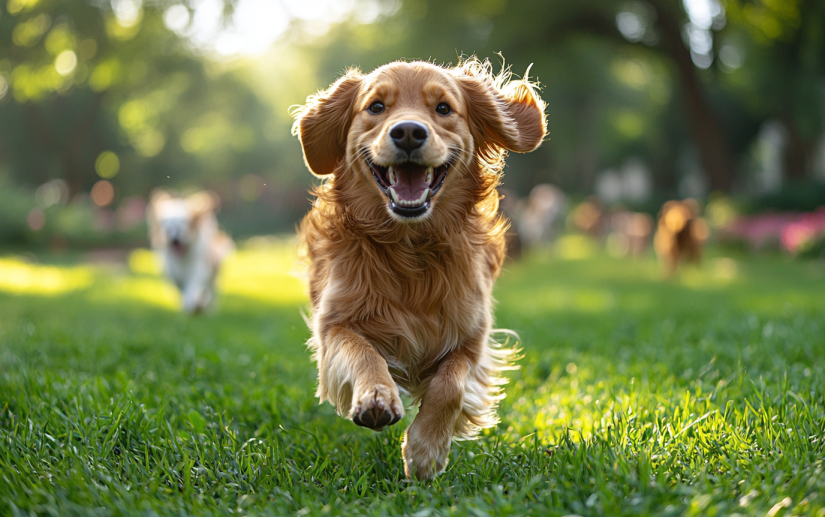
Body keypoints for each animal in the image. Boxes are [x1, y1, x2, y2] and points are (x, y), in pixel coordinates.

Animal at [292, 58, 548, 478]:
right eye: (376, 107)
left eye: (443, 108)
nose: (409, 132)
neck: (410, 248)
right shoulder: (335, 325)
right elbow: (363, 351)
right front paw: (376, 396)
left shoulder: (472, 339)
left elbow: (449, 385)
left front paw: (426, 450)